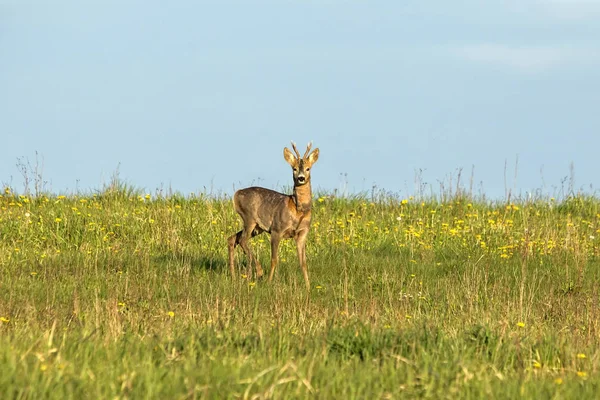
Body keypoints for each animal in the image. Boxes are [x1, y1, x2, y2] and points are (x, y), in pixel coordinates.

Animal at [227, 141, 318, 290]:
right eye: (294, 169)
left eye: (308, 168)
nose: (301, 178)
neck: (298, 210)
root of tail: (236, 194)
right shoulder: (277, 229)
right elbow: (274, 259)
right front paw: (269, 283)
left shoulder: (303, 233)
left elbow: (303, 262)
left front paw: (308, 287)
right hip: (249, 218)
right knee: (242, 240)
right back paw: (259, 271)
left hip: (257, 228)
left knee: (233, 238)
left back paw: (234, 277)